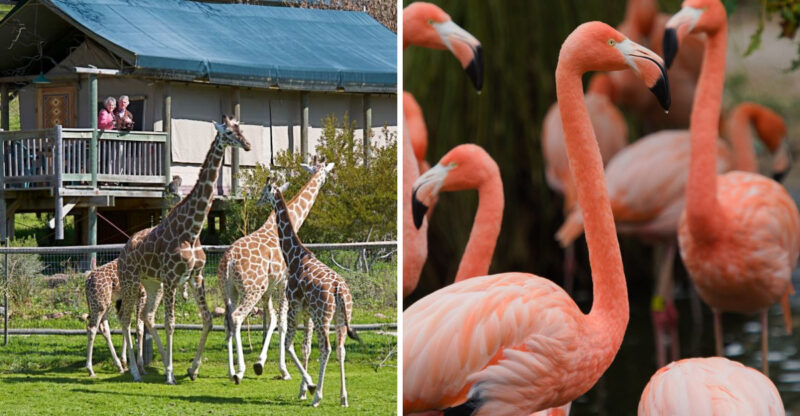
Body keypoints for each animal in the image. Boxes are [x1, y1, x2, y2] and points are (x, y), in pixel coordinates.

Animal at [117, 116, 251, 384]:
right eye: (229, 133)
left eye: (241, 129)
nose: (248, 145)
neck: (192, 231)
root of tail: (122, 253)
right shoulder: (171, 278)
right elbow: (170, 323)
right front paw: (170, 375)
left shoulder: (195, 277)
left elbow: (208, 320)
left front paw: (192, 369)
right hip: (130, 281)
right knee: (127, 319)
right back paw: (135, 371)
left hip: (151, 283)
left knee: (145, 316)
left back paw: (154, 363)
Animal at [189, 156, 335, 384]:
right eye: (324, 173)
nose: (323, 183)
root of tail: (228, 261)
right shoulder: (283, 282)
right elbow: (281, 321)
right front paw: (282, 370)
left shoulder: (269, 287)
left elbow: (272, 318)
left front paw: (261, 362)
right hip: (251, 289)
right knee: (237, 318)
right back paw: (239, 370)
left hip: (228, 289)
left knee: (227, 320)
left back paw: (219, 370)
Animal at [259, 179, 360, 407]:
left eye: (263, 192)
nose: (258, 201)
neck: (294, 256)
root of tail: (339, 290)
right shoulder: (307, 312)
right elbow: (305, 347)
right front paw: (303, 390)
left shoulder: (295, 305)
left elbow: (289, 344)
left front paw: (310, 385)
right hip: (341, 317)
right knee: (340, 349)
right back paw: (343, 398)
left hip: (324, 316)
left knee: (327, 349)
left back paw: (318, 397)